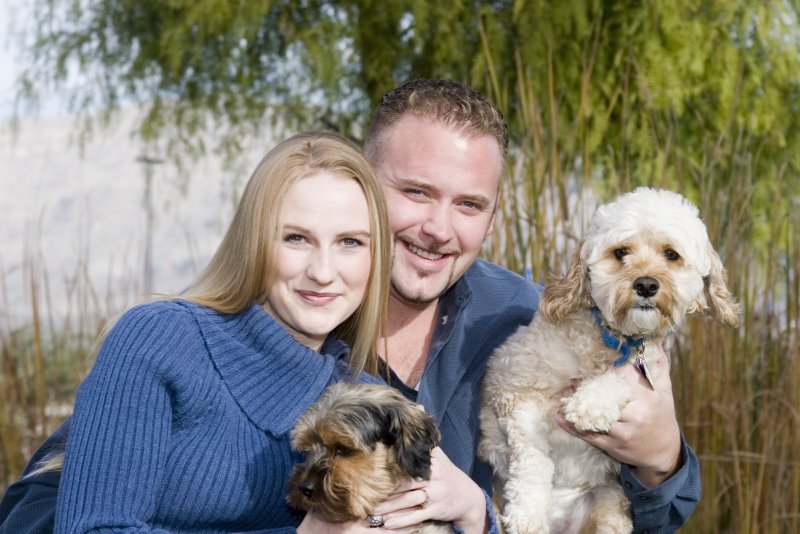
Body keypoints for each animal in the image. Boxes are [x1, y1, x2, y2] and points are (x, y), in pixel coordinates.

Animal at [478, 187, 740, 533]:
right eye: (621, 252)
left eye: (671, 254)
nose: (646, 285)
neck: (612, 342)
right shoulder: (515, 385)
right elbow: (532, 460)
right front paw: (527, 513)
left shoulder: (647, 373)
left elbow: (618, 380)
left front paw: (591, 403)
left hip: (611, 510)